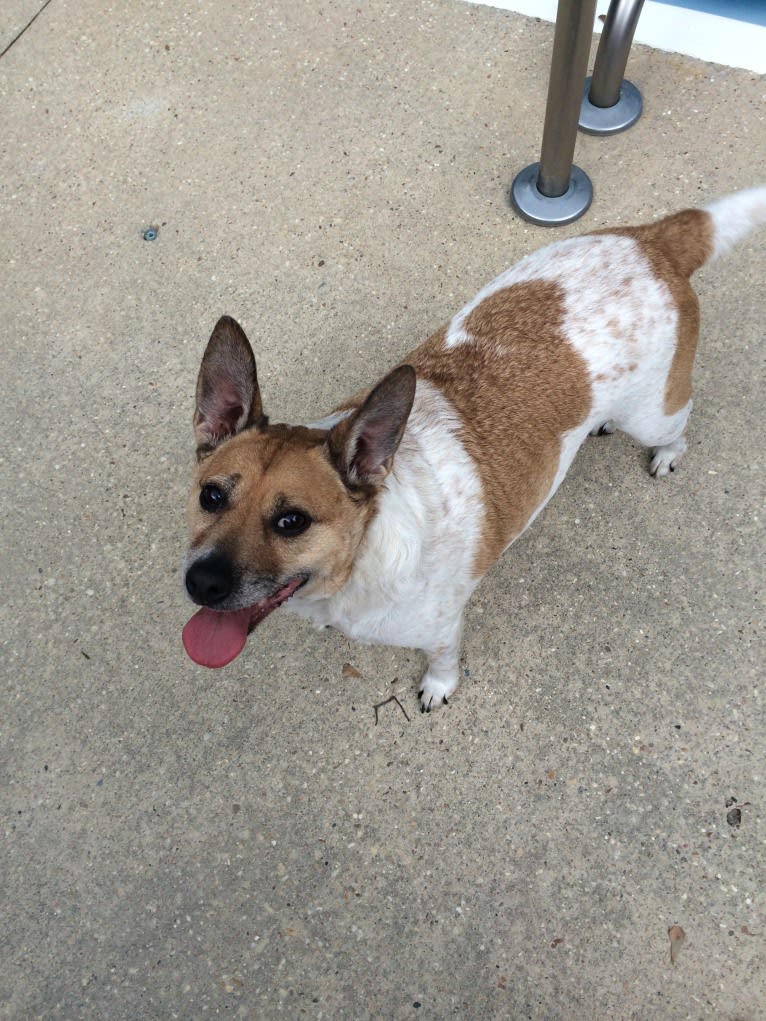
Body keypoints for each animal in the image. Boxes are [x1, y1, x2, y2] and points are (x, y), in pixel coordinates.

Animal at [181, 185, 766, 710]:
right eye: (211, 496)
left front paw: (439, 686)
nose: (200, 583)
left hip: (653, 414)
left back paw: (669, 453)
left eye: (292, 522)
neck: (363, 554)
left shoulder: (441, 628)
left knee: (680, 421)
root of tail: (654, 240)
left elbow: (443, 661)